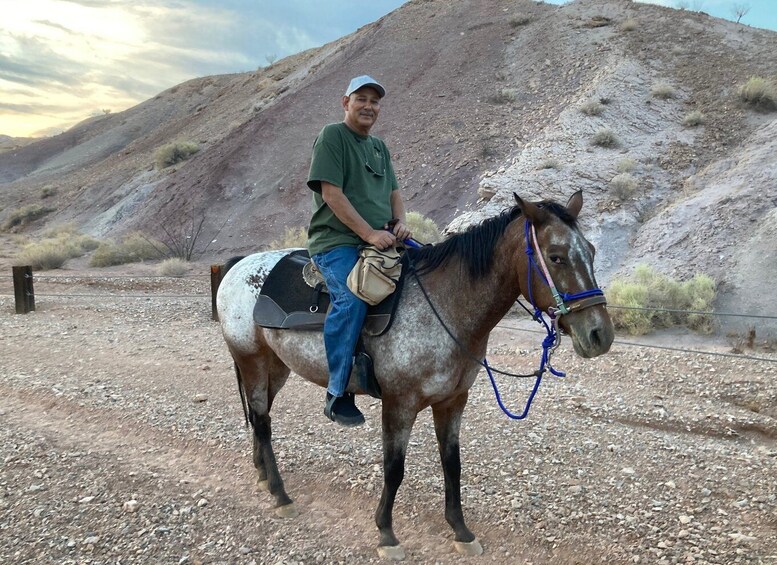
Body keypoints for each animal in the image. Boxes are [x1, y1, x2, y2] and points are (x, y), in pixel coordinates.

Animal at [214, 191, 612, 560]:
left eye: (591, 251)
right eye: (556, 256)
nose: (599, 334)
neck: (445, 306)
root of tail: (238, 266)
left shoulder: (453, 401)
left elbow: (452, 465)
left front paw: (461, 531)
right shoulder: (399, 404)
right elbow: (394, 469)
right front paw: (386, 534)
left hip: (275, 366)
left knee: (260, 416)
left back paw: (263, 475)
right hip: (251, 360)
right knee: (262, 421)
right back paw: (280, 495)